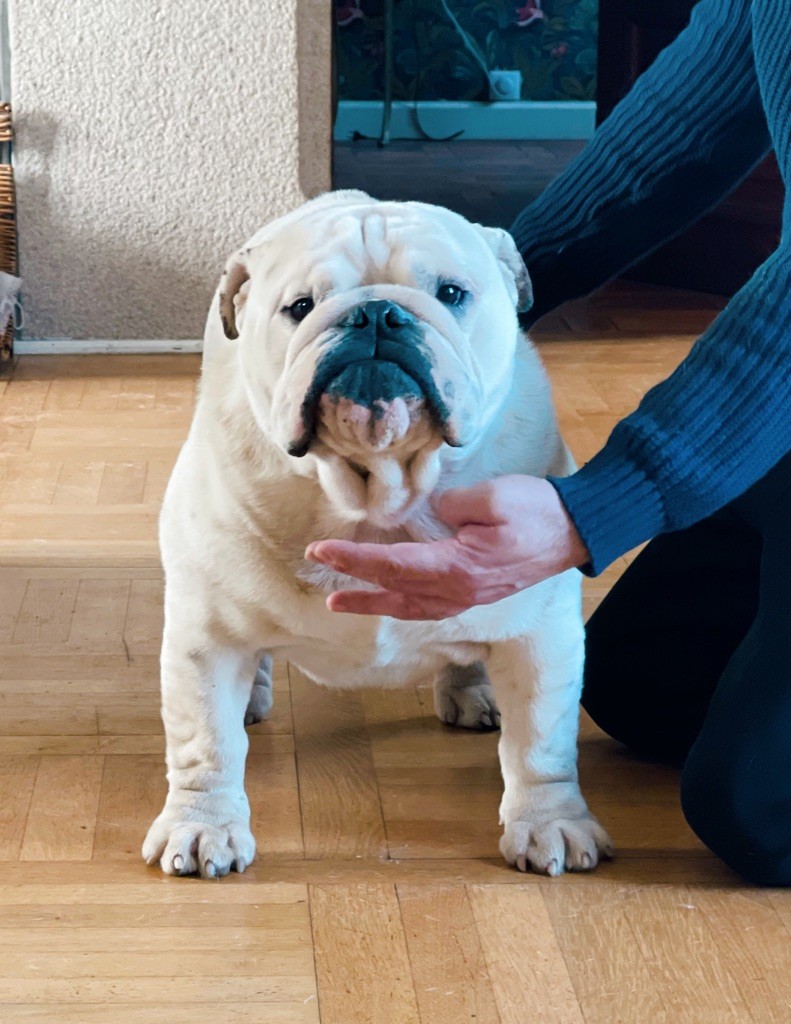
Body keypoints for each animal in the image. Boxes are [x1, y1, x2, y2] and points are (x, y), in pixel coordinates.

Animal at [142, 190, 612, 878]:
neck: (376, 489)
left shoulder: (540, 637)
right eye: (300, 307)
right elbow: (206, 744)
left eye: (451, 293)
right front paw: (202, 828)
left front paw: (551, 823)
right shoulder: (205, 640)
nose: (375, 315)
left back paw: (472, 690)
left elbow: (542, 745)